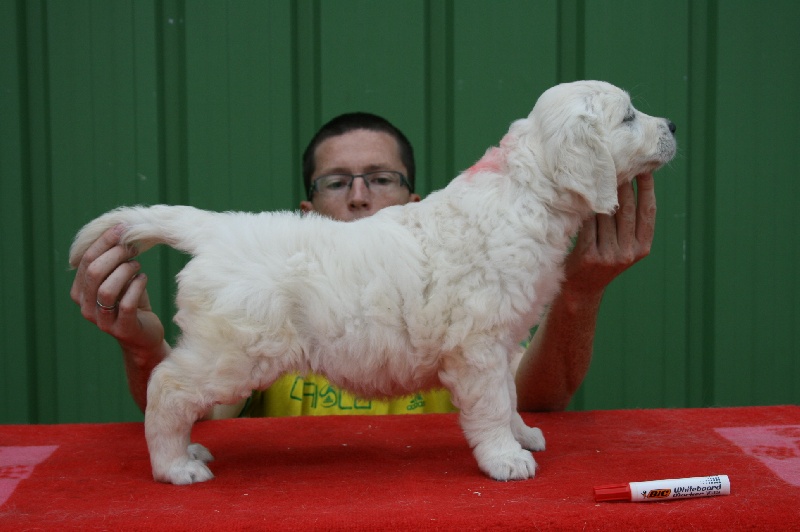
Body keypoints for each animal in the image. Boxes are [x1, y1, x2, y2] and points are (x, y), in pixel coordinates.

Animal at [69, 80, 676, 485]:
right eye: (628, 117)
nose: (672, 126)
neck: (525, 192)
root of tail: (216, 228)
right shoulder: (478, 345)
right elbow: (488, 405)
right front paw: (505, 458)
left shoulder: (504, 339)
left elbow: (508, 395)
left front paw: (522, 434)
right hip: (235, 351)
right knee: (167, 388)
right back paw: (174, 465)